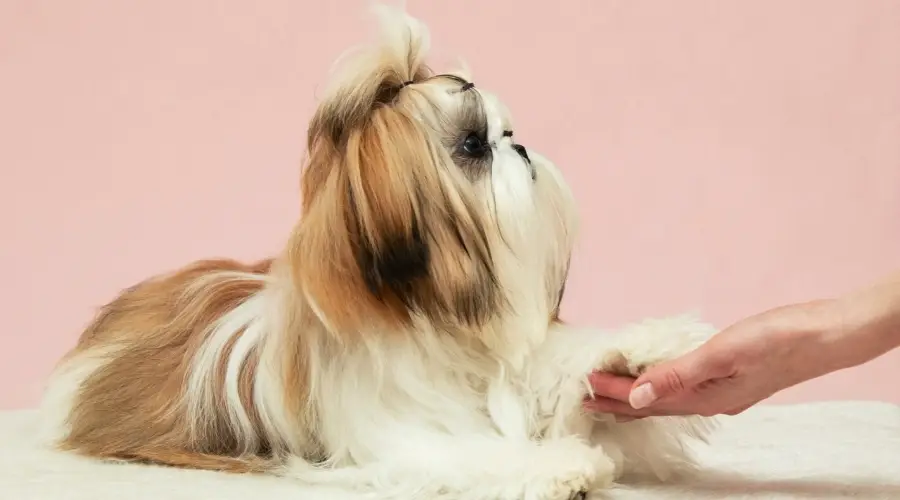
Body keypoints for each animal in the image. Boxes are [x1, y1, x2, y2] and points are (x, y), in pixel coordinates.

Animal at [40, 4, 716, 500]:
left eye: (507, 132)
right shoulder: (397, 436)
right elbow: (473, 451)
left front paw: (656, 345)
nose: (518, 146)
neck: (437, 321)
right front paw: (559, 466)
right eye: (474, 145)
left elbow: (570, 368)